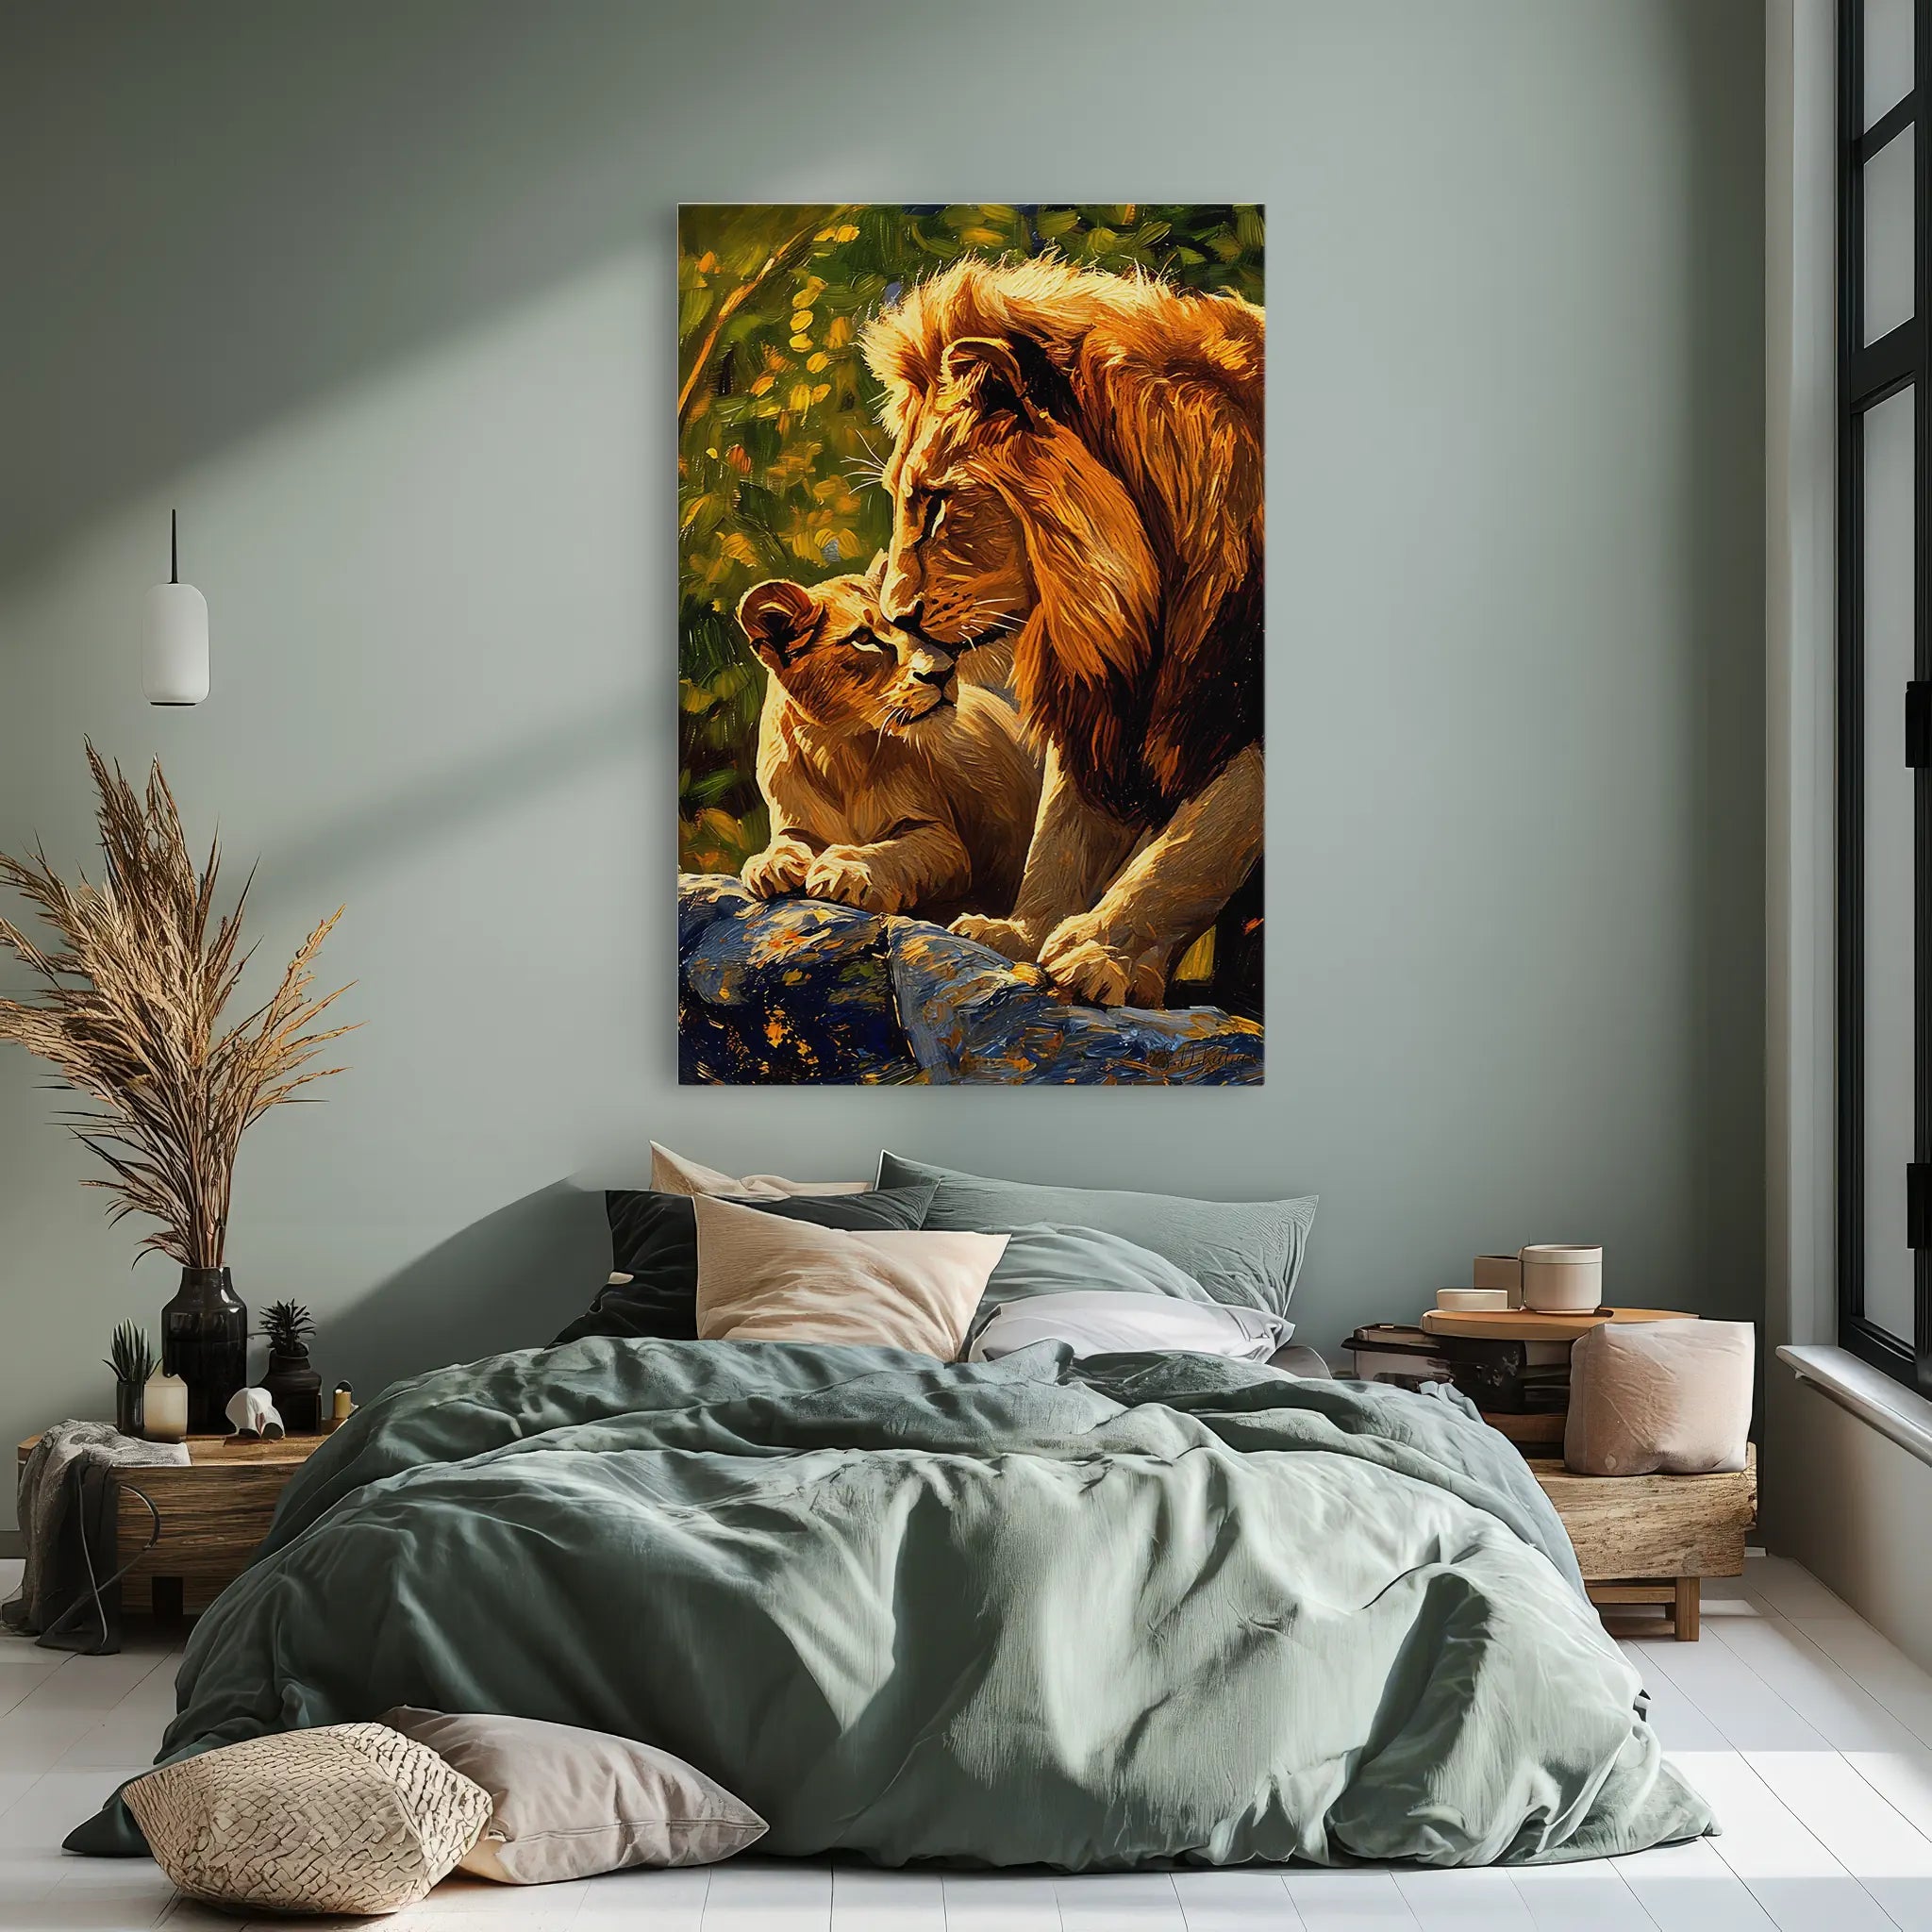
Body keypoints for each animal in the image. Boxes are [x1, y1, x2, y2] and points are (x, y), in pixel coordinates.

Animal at [734, 563, 1041, 923]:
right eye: (864, 638)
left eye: (919, 630)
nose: (943, 673)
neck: (838, 751)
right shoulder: (793, 822)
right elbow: (786, 840)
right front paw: (771, 862)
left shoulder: (941, 839)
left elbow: (894, 852)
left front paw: (848, 868)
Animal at [859, 255, 1265, 1010]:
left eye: (937, 503)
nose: (895, 616)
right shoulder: (1104, 698)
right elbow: (1061, 833)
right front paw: (1021, 933)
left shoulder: (1239, 716)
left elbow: (1192, 848)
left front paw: (1102, 953)